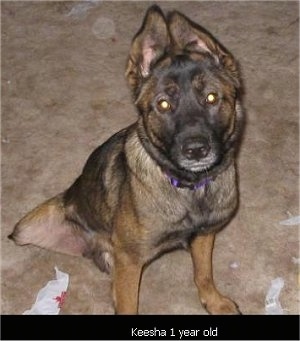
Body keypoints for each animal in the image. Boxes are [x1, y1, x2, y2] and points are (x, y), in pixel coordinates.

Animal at [9, 5, 244, 314]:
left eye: (212, 98)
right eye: (163, 104)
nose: (195, 149)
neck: (188, 188)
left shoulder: (204, 235)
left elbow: (203, 273)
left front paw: (214, 301)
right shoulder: (131, 261)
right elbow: (129, 304)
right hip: (28, 228)